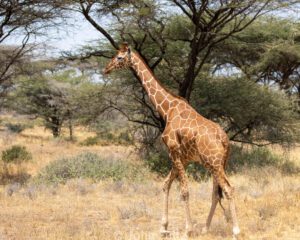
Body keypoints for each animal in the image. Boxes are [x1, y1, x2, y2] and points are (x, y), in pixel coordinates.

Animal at [104, 43, 240, 238]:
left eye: (119, 57)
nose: (106, 69)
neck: (167, 110)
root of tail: (225, 139)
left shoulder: (173, 151)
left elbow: (184, 191)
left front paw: (188, 230)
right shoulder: (182, 157)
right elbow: (165, 184)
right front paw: (164, 227)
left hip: (214, 163)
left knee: (228, 189)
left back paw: (236, 230)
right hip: (217, 163)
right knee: (216, 193)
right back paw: (206, 228)